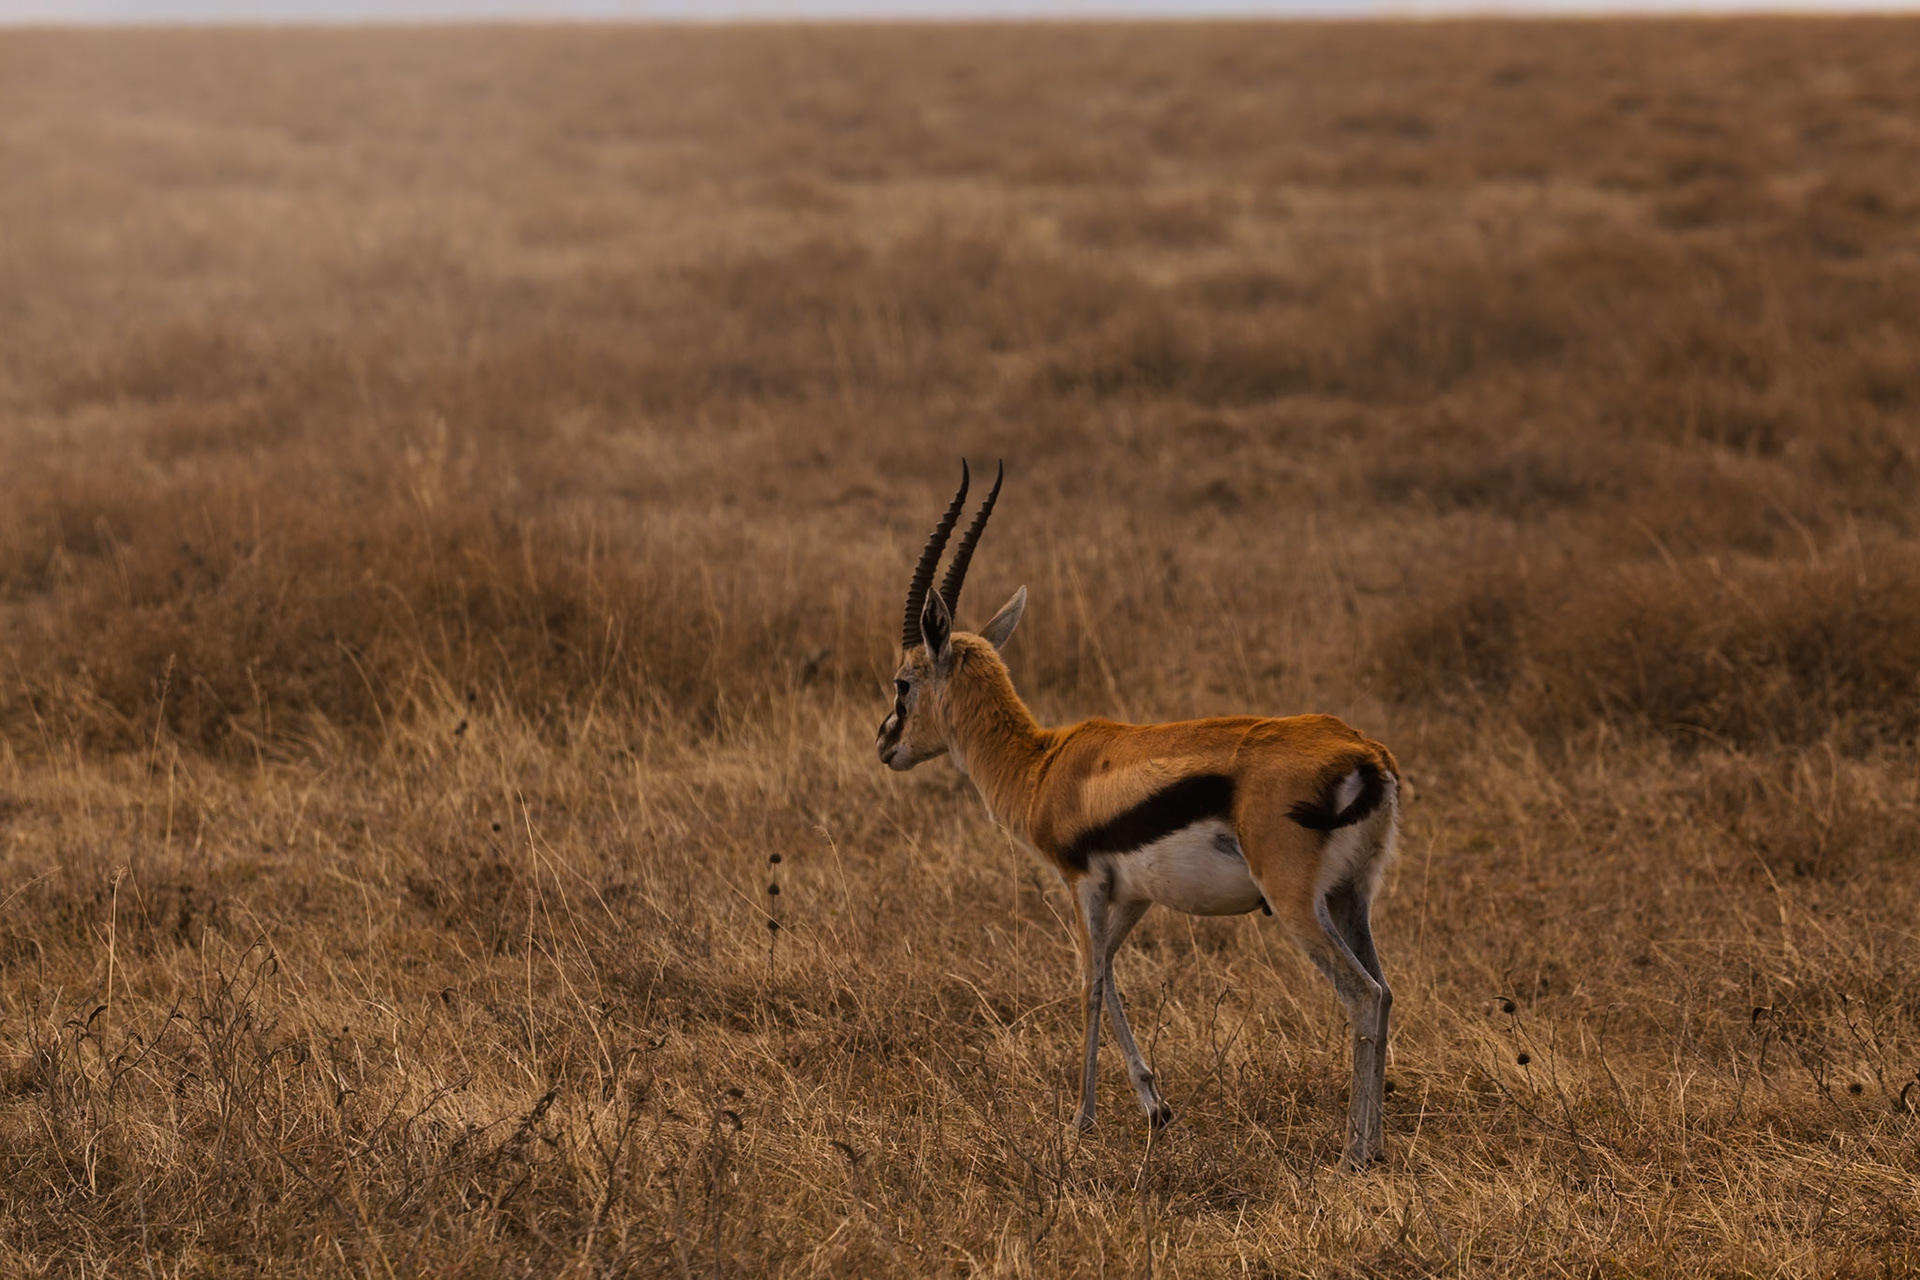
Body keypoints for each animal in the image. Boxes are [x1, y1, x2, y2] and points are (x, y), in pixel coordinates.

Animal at [876, 461, 1401, 1169]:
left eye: (903, 682)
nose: (885, 744)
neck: (1042, 765)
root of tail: (1366, 755)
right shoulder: (1132, 896)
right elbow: (1108, 974)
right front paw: (1156, 1107)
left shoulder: (1083, 883)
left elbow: (1090, 987)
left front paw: (1082, 1121)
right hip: (1351, 896)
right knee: (1386, 992)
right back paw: (1375, 1150)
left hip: (1296, 905)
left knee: (1362, 995)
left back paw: (1353, 1155)